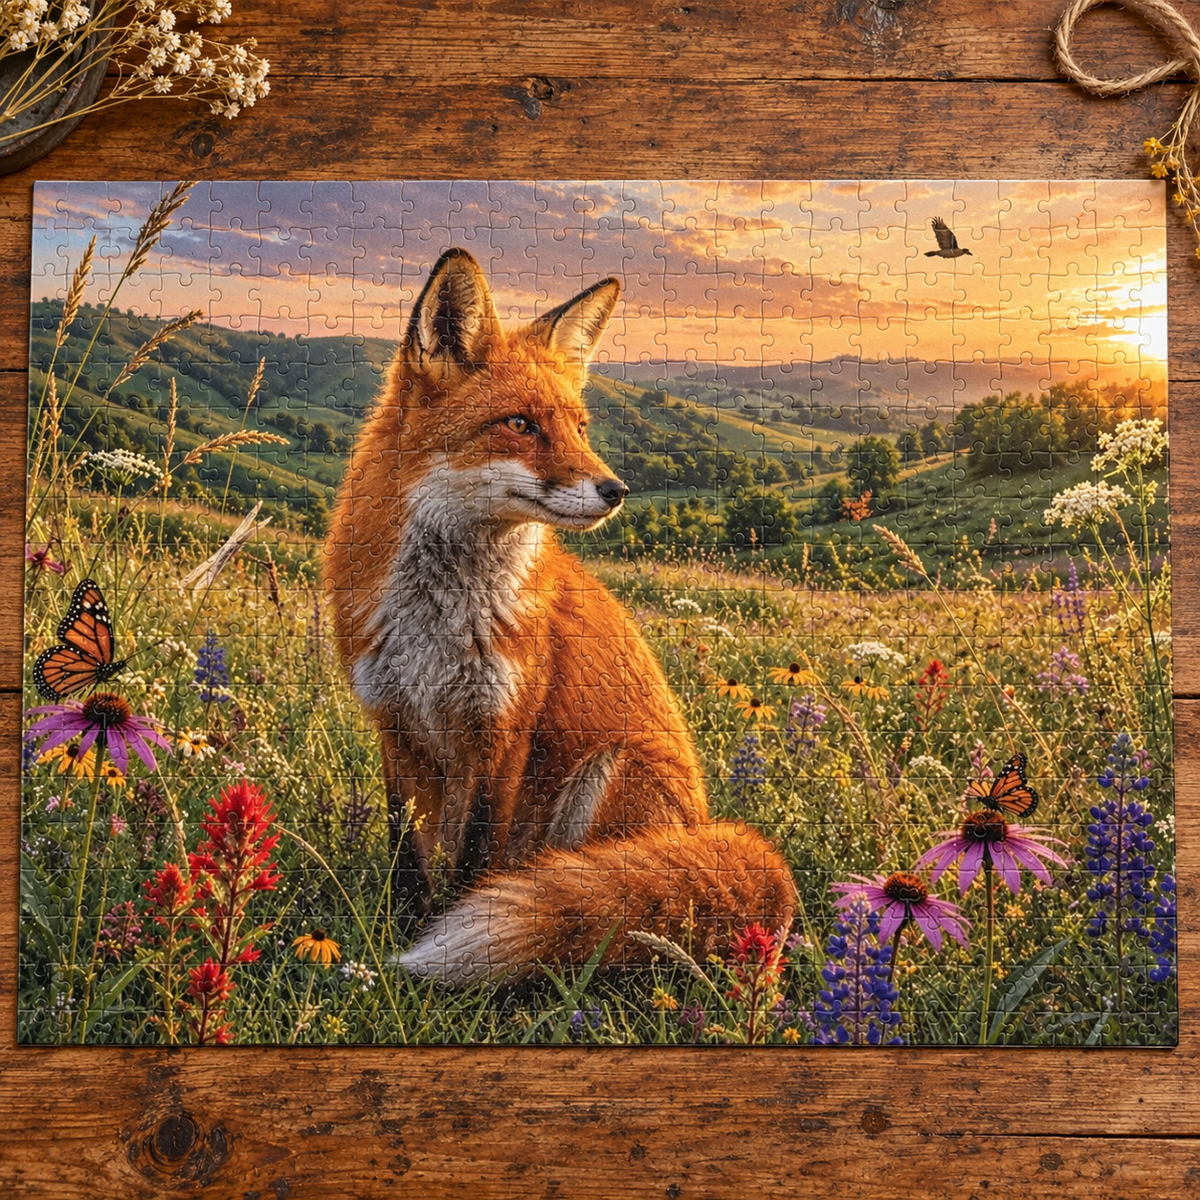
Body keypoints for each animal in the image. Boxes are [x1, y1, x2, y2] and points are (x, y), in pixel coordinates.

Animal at [324, 247, 798, 984]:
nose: (617, 490)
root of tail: (706, 826)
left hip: (611, 772)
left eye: (580, 427)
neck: (436, 618)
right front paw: (394, 935)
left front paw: (441, 958)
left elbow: (472, 864)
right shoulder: (395, 724)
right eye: (520, 424)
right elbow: (408, 858)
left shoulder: (502, 730)